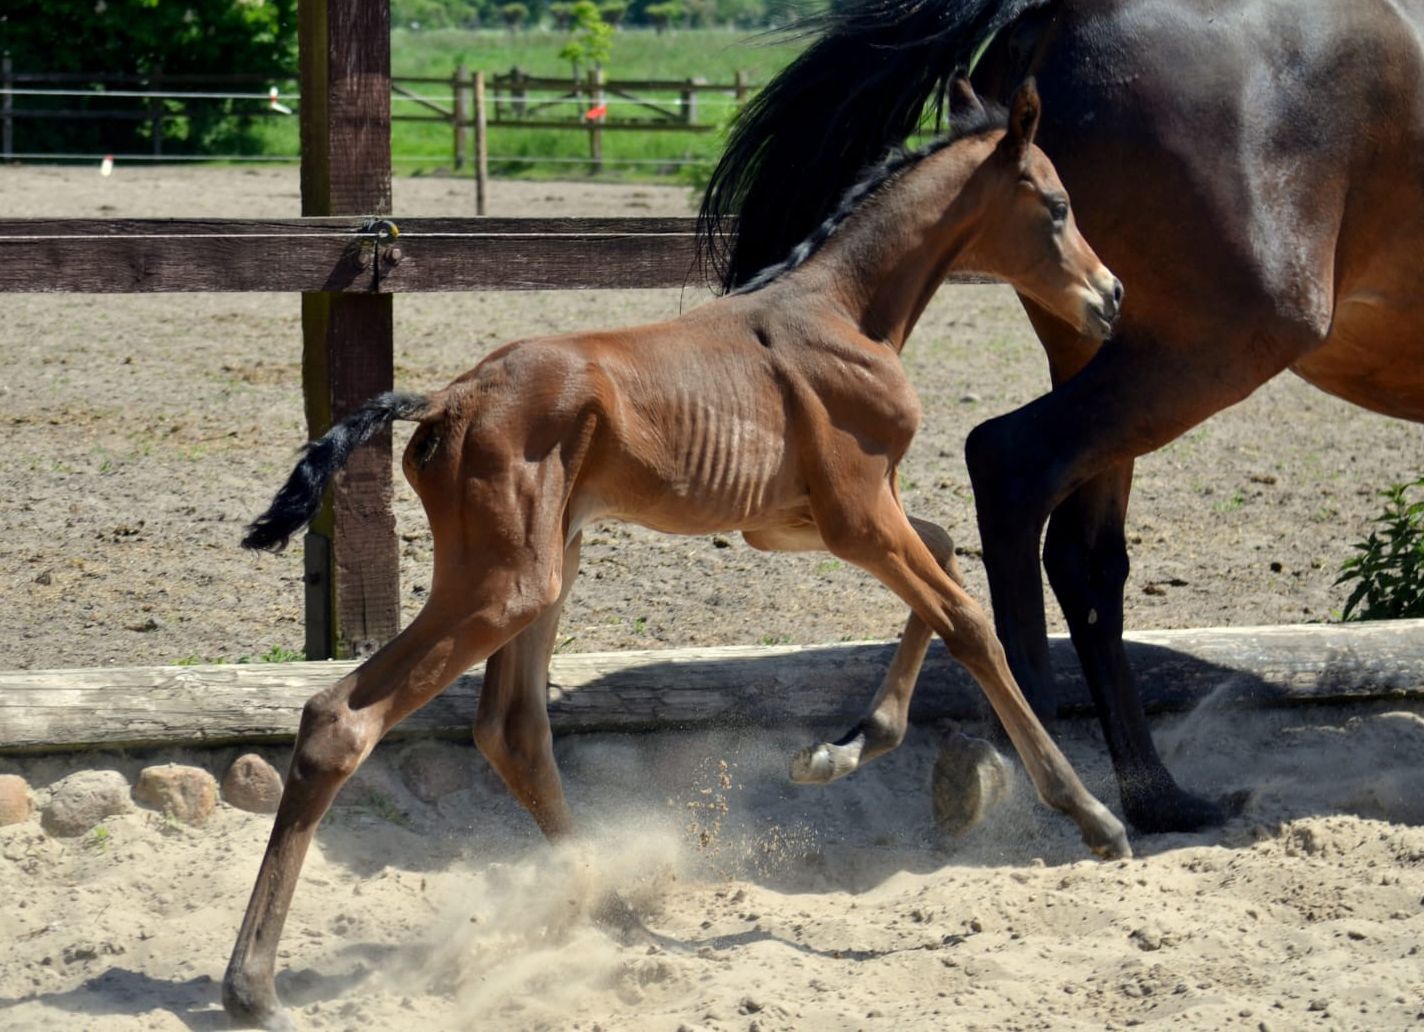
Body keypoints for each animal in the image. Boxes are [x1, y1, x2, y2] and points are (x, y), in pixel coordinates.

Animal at [227, 82, 1127, 1030]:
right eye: (1058, 205)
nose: (1110, 296)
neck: (846, 314)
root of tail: (445, 400)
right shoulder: (856, 513)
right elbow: (967, 619)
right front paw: (1092, 817)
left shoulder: (804, 517)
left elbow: (948, 555)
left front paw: (843, 749)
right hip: (506, 583)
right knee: (341, 720)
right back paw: (251, 984)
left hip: (547, 566)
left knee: (512, 728)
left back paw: (615, 908)